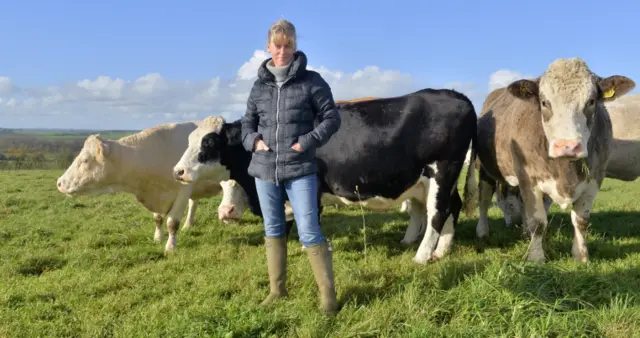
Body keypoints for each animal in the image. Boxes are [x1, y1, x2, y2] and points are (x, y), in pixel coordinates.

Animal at [55, 121, 230, 254]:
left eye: (85, 160)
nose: (59, 183)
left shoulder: (183, 190)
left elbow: (172, 222)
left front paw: (170, 247)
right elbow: (158, 219)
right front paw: (158, 238)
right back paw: (189, 225)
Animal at [172, 88, 478, 264]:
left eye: (209, 142)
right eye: (189, 140)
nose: (178, 171)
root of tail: (454, 94)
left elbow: (308, 220)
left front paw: (310, 250)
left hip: (443, 170)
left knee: (437, 213)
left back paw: (422, 256)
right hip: (433, 179)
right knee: (451, 206)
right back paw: (439, 249)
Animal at [460, 57, 636, 264]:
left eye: (591, 101)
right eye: (544, 102)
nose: (567, 146)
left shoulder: (595, 178)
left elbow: (581, 221)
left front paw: (581, 256)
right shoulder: (528, 178)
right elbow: (538, 221)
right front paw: (536, 258)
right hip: (486, 169)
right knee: (485, 200)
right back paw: (482, 231)